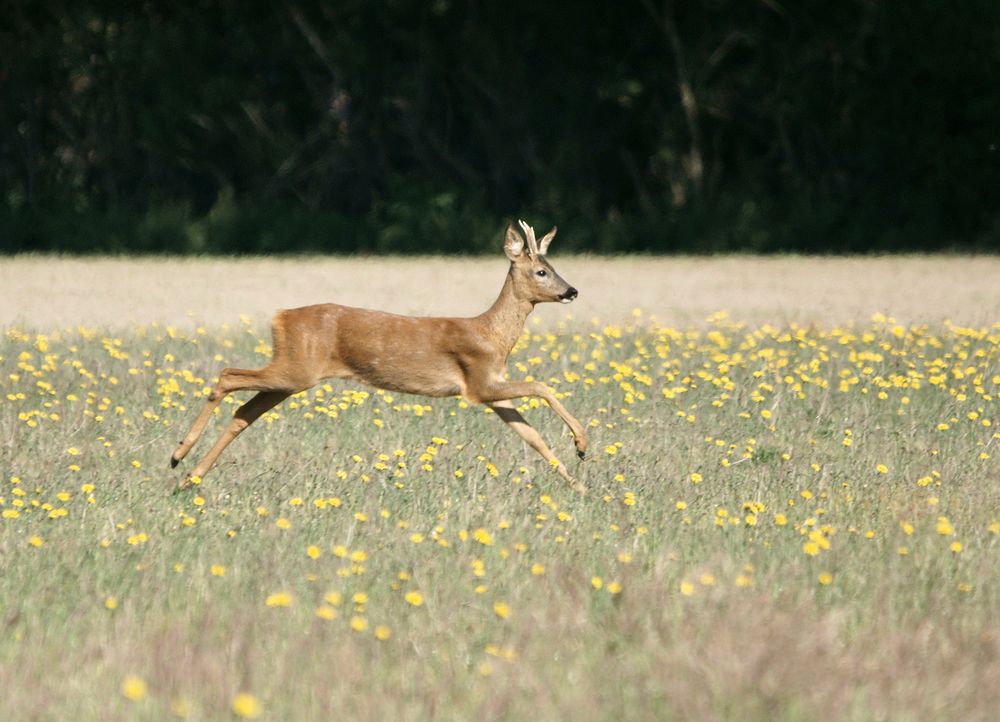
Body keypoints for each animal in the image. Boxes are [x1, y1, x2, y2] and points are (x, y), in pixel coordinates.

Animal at [169, 219, 588, 490]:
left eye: (552, 267)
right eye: (540, 272)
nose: (572, 291)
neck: (491, 335)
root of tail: (280, 317)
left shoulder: (491, 390)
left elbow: (532, 436)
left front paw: (577, 484)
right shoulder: (478, 382)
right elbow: (542, 386)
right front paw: (582, 445)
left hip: (291, 378)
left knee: (243, 413)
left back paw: (189, 477)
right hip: (294, 370)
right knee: (227, 375)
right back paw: (178, 454)